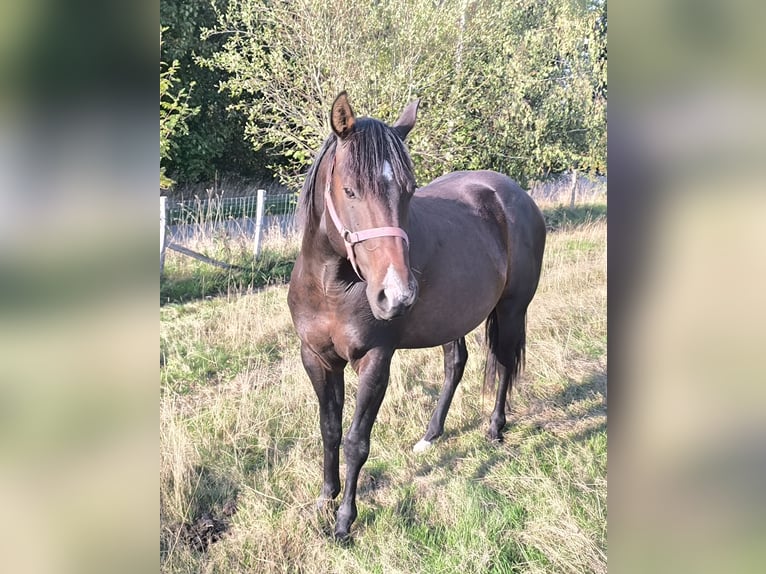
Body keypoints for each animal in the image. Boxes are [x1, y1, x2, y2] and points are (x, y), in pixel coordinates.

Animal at [287, 92, 546, 540]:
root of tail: (517, 195)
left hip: (512, 310)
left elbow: (356, 440)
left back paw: (495, 428)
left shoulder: (375, 361)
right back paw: (431, 435)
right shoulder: (316, 359)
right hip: (454, 316)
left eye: (408, 191)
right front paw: (325, 500)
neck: (330, 287)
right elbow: (329, 430)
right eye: (349, 190)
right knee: (456, 364)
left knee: (504, 364)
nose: (398, 296)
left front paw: (344, 521)